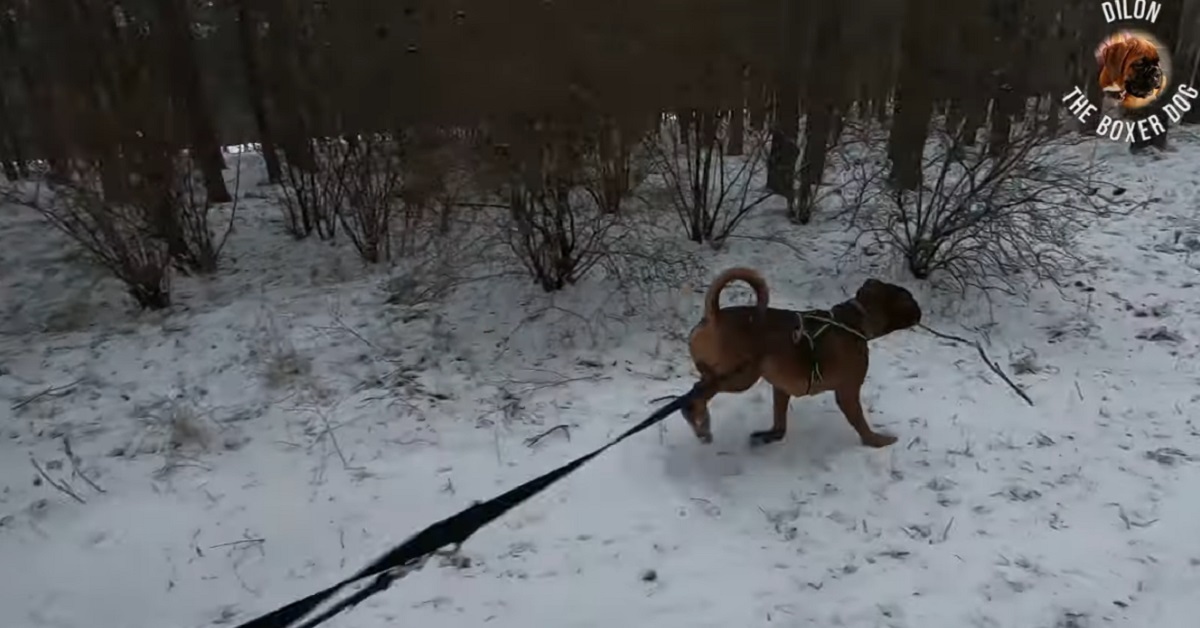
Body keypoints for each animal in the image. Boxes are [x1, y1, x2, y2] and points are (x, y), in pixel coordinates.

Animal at [681, 267, 921, 449]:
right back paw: (701, 425)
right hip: (740, 377)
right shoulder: (848, 393)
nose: (920, 310)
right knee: (695, 396)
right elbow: (861, 424)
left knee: (695, 393)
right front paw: (877, 441)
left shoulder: (781, 390)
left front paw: (769, 436)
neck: (855, 320)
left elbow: (780, 423)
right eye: (908, 298)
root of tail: (714, 316)